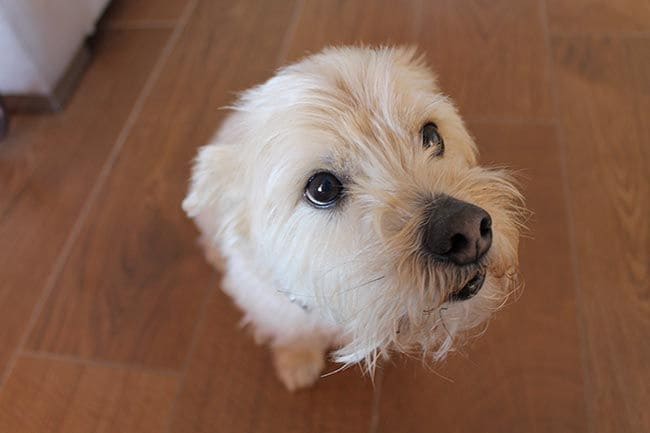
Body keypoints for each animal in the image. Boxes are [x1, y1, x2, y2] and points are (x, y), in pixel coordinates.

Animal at [180, 45, 524, 390]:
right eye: (322, 188)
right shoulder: (272, 310)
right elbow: (294, 335)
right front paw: (297, 363)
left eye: (431, 135)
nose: (468, 231)